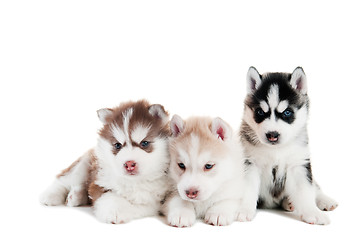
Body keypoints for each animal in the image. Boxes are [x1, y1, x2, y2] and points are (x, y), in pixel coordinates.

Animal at [40, 99, 169, 223]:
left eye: (145, 143)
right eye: (117, 145)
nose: (129, 164)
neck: (134, 182)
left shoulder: (154, 200)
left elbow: (141, 205)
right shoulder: (98, 183)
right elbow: (110, 196)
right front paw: (114, 211)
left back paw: (76, 196)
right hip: (85, 162)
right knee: (66, 178)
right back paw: (51, 195)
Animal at [239, 67, 338, 225]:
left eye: (287, 112)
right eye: (260, 112)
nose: (272, 134)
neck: (276, 150)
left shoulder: (299, 164)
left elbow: (305, 190)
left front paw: (312, 212)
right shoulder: (250, 163)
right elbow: (247, 189)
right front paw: (243, 210)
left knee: (315, 187)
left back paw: (324, 200)